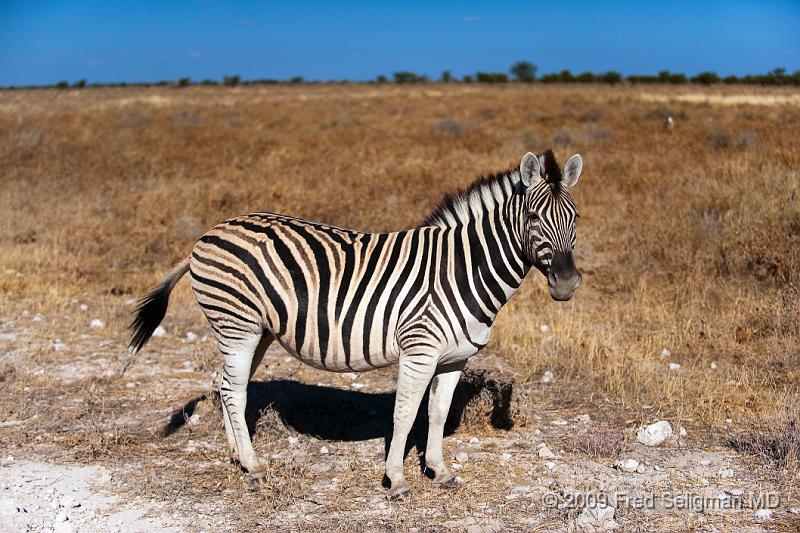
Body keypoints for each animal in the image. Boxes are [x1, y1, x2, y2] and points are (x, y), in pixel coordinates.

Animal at [130, 148, 580, 496]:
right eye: (534, 218)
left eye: (575, 219)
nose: (567, 283)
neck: (461, 269)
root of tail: (207, 234)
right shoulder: (419, 349)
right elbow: (405, 414)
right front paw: (396, 480)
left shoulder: (455, 359)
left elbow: (437, 413)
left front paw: (439, 471)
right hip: (237, 324)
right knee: (234, 391)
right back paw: (255, 468)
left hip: (257, 331)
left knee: (223, 385)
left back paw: (236, 457)